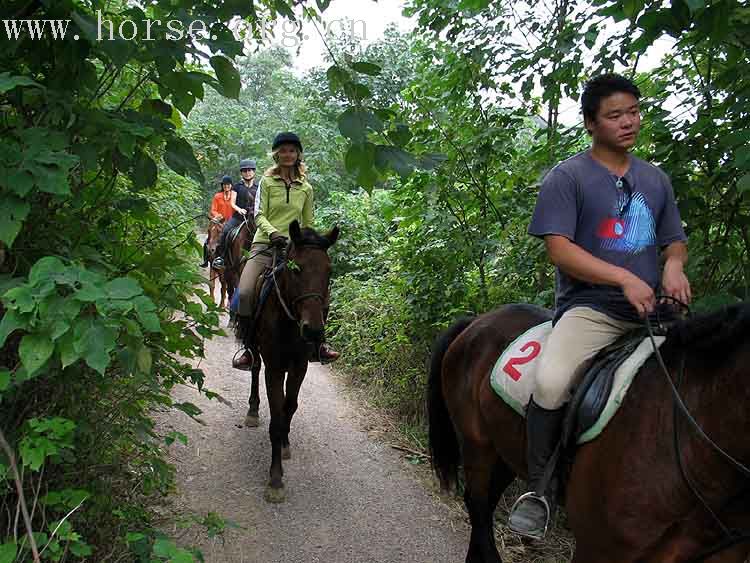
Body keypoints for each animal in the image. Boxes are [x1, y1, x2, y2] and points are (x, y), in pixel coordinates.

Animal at [239, 219, 340, 502]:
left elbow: (289, 407)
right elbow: (275, 418)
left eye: (329, 271)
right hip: (256, 350)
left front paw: (285, 443)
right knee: (254, 368)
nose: (314, 331)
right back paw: (252, 410)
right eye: (296, 269)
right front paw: (275, 480)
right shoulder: (274, 368)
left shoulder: (299, 367)